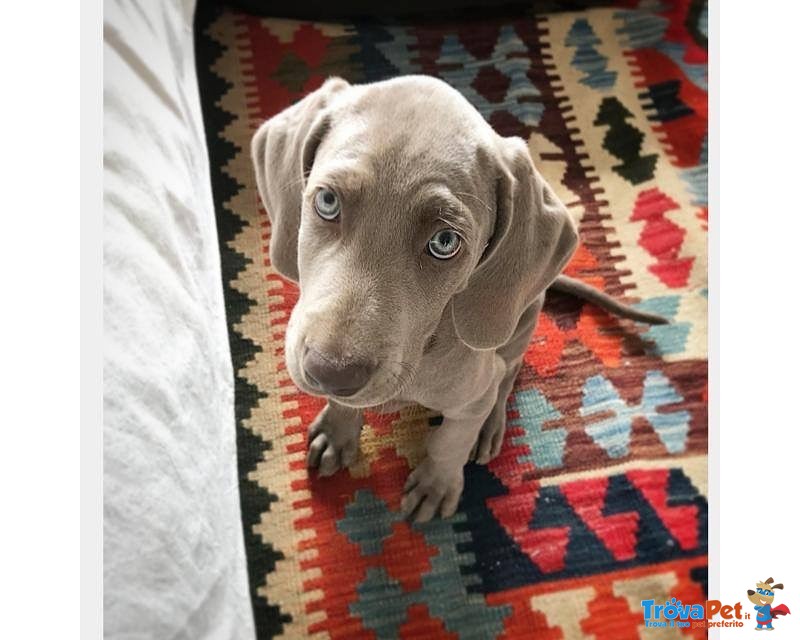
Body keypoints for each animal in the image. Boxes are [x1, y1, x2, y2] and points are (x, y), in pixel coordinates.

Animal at [253, 77, 664, 524]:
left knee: (507, 374)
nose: (330, 373)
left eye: (445, 242)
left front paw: (437, 483)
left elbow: (449, 440)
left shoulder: (472, 393)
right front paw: (338, 428)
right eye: (327, 201)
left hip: (521, 320)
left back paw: (489, 426)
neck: (421, 354)